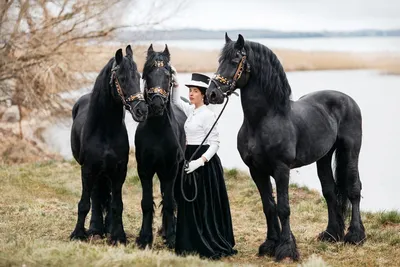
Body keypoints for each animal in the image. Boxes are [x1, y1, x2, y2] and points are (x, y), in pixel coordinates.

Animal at [70, 45, 148, 245]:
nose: (141, 110)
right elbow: (84, 203)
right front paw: (78, 234)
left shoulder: (119, 170)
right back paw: (95, 229)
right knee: (95, 196)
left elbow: (117, 204)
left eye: (139, 77)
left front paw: (118, 235)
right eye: (122, 78)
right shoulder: (88, 169)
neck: (105, 131)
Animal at [133, 45, 186, 250]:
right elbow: (147, 202)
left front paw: (171, 238)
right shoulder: (145, 169)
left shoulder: (171, 169)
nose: (157, 104)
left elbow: (170, 202)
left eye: (167, 75)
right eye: (147, 74)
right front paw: (144, 238)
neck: (157, 130)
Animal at [206, 33, 366, 262]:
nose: (212, 94)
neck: (263, 120)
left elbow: (283, 208)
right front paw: (269, 244)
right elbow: (268, 207)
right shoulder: (256, 170)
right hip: (324, 157)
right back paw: (331, 234)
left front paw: (286, 249)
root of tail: (347, 99)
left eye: (235, 61)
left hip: (350, 151)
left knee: (353, 189)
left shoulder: (281, 169)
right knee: (330, 191)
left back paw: (355, 236)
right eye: (220, 61)